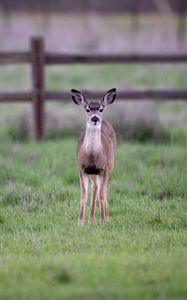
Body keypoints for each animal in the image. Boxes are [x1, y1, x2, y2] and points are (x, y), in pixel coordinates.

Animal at [71, 88, 116, 224]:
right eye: (87, 109)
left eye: (101, 109)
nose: (95, 118)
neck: (92, 156)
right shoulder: (82, 169)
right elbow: (83, 195)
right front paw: (80, 222)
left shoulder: (103, 169)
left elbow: (102, 194)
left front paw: (103, 221)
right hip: (92, 173)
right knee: (95, 187)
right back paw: (91, 219)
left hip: (110, 165)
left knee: (103, 189)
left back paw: (105, 217)